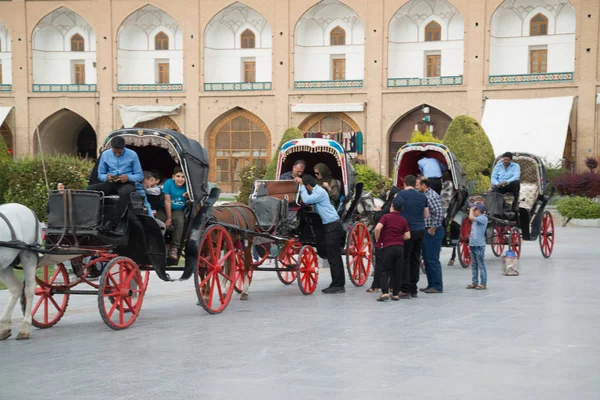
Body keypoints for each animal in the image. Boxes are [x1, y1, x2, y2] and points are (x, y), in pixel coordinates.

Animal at [0, 203, 41, 340]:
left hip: (28, 255)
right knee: (15, 288)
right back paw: (4, 326)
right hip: (5, 264)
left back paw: (24, 327)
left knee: (29, 289)